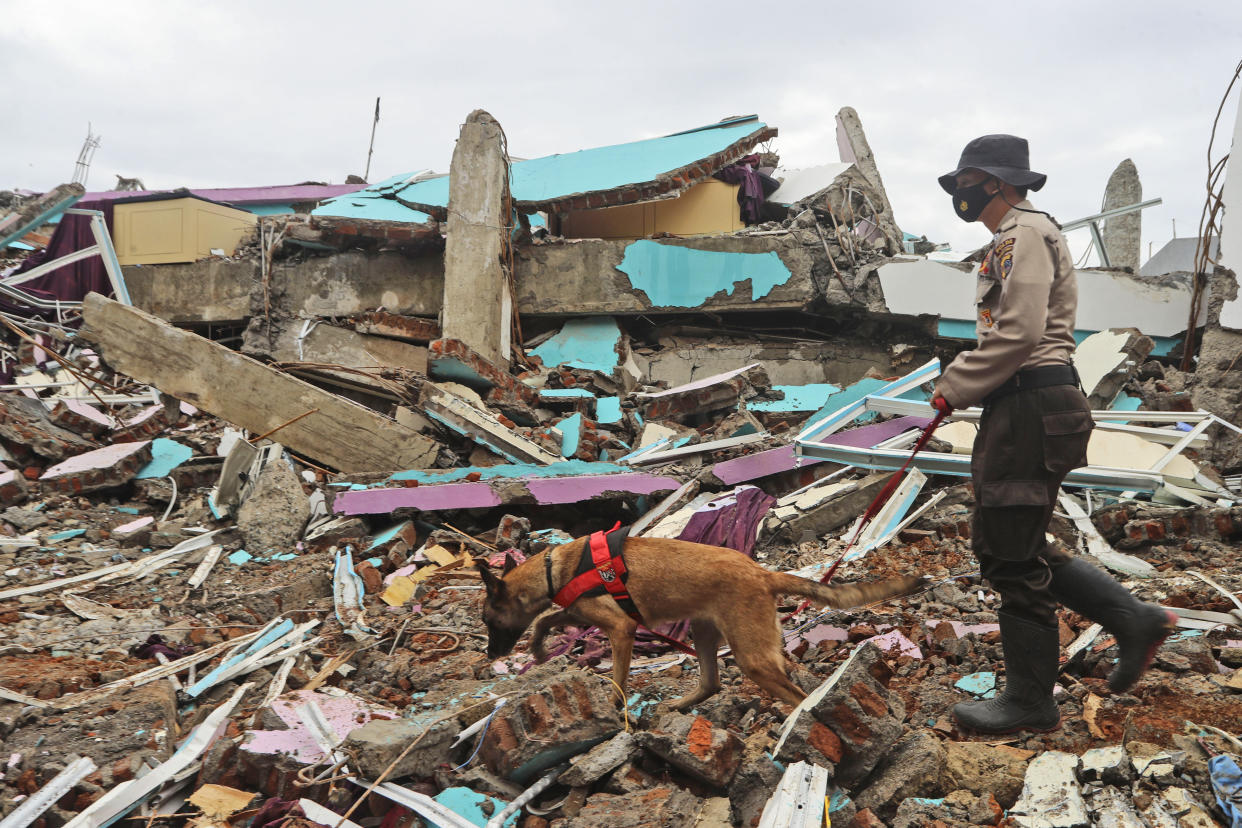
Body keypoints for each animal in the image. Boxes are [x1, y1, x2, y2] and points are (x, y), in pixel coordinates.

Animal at [474, 541, 924, 710]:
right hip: (704, 631)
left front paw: (616, 707)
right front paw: (537, 647)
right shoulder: (581, 611)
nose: (490, 656)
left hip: (749, 655)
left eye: (487, 620)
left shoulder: (620, 629)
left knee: (797, 696)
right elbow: (548, 618)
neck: (555, 569)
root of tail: (763, 574)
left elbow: (617, 678)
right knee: (712, 682)